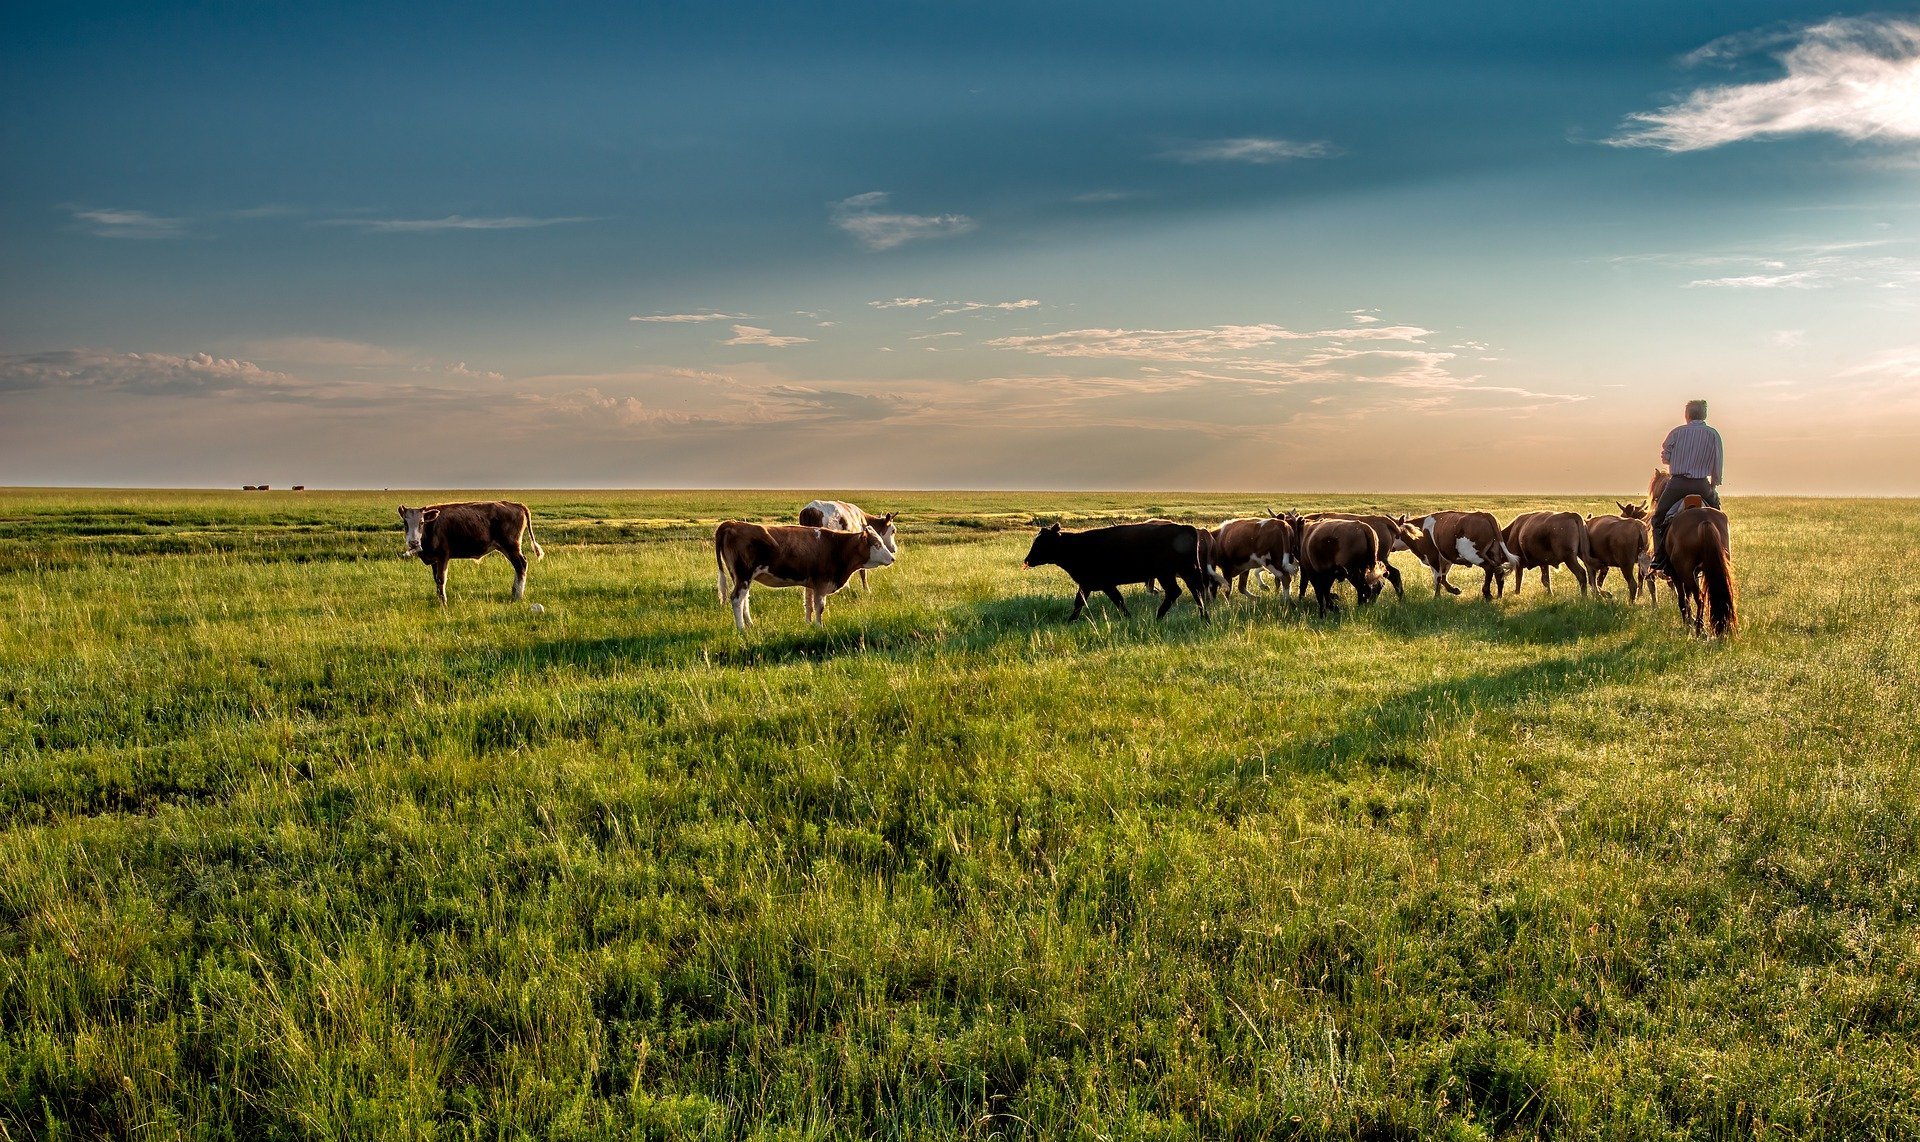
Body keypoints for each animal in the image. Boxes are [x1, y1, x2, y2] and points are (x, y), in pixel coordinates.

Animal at [397, 502, 545, 606]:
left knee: (521, 565)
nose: (413, 542)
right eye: (405, 522)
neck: (432, 527)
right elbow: (436, 580)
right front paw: (439, 599)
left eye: (421, 522)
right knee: (518, 567)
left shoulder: (443, 556)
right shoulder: (434, 560)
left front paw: (443, 602)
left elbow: (441, 579)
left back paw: (518, 596)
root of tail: (516, 504)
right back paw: (514, 592)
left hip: (511, 546)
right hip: (506, 548)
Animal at [718, 522, 894, 633]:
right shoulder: (822, 583)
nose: (892, 558)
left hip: (741, 578)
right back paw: (741, 629)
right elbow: (819, 606)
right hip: (744, 575)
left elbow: (808, 604)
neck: (835, 546)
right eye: (877, 544)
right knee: (737, 599)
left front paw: (809, 624)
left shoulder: (811, 584)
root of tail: (733, 523)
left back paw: (749, 624)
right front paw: (819, 626)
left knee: (744, 600)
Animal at [1021, 522, 1213, 621]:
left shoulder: (1104, 583)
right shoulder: (1088, 584)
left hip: (1170, 572)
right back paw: (1202, 617)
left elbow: (1117, 600)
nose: (1027, 560)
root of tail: (1187, 527)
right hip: (1180, 572)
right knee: (1191, 591)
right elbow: (1080, 602)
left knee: (1181, 591)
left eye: (1041, 543)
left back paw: (1160, 616)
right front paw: (1070, 621)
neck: (1075, 547)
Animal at [1643, 468, 1735, 637]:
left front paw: (1687, 622)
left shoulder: (1676, 574)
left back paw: (1699, 628)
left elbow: (1683, 599)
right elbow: (1688, 596)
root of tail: (1704, 520)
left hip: (1684, 570)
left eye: (1656, 497)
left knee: (1700, 597)